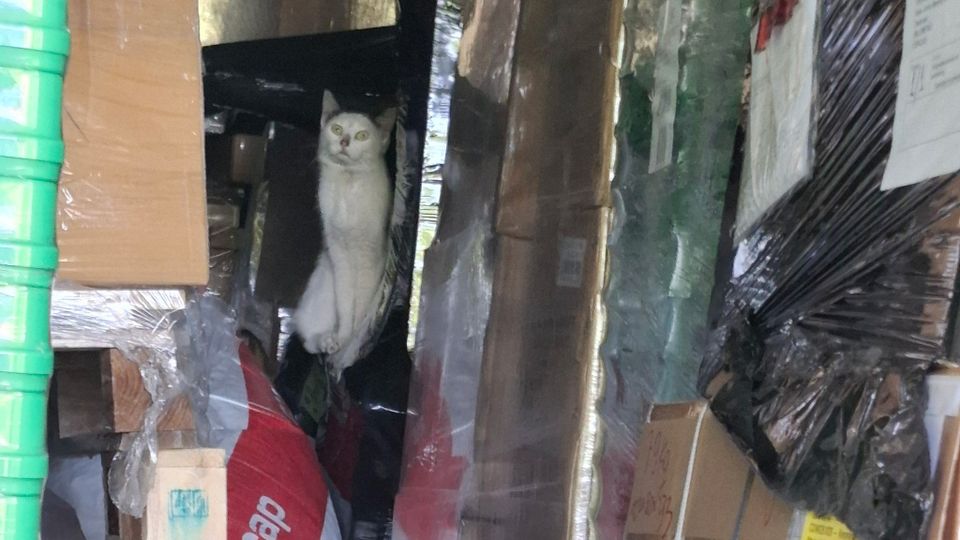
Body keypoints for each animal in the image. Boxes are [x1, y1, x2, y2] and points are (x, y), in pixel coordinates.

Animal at [294, 90, 396, 374]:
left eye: (362, 135)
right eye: (337, 128)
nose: (343, 141)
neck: (347, 189)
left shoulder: (370, 259)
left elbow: (360, 307)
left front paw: (349, 346)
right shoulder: (338, 254)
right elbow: (346, 306)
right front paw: (341, 340)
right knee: (308, 338)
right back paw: (327, 341)